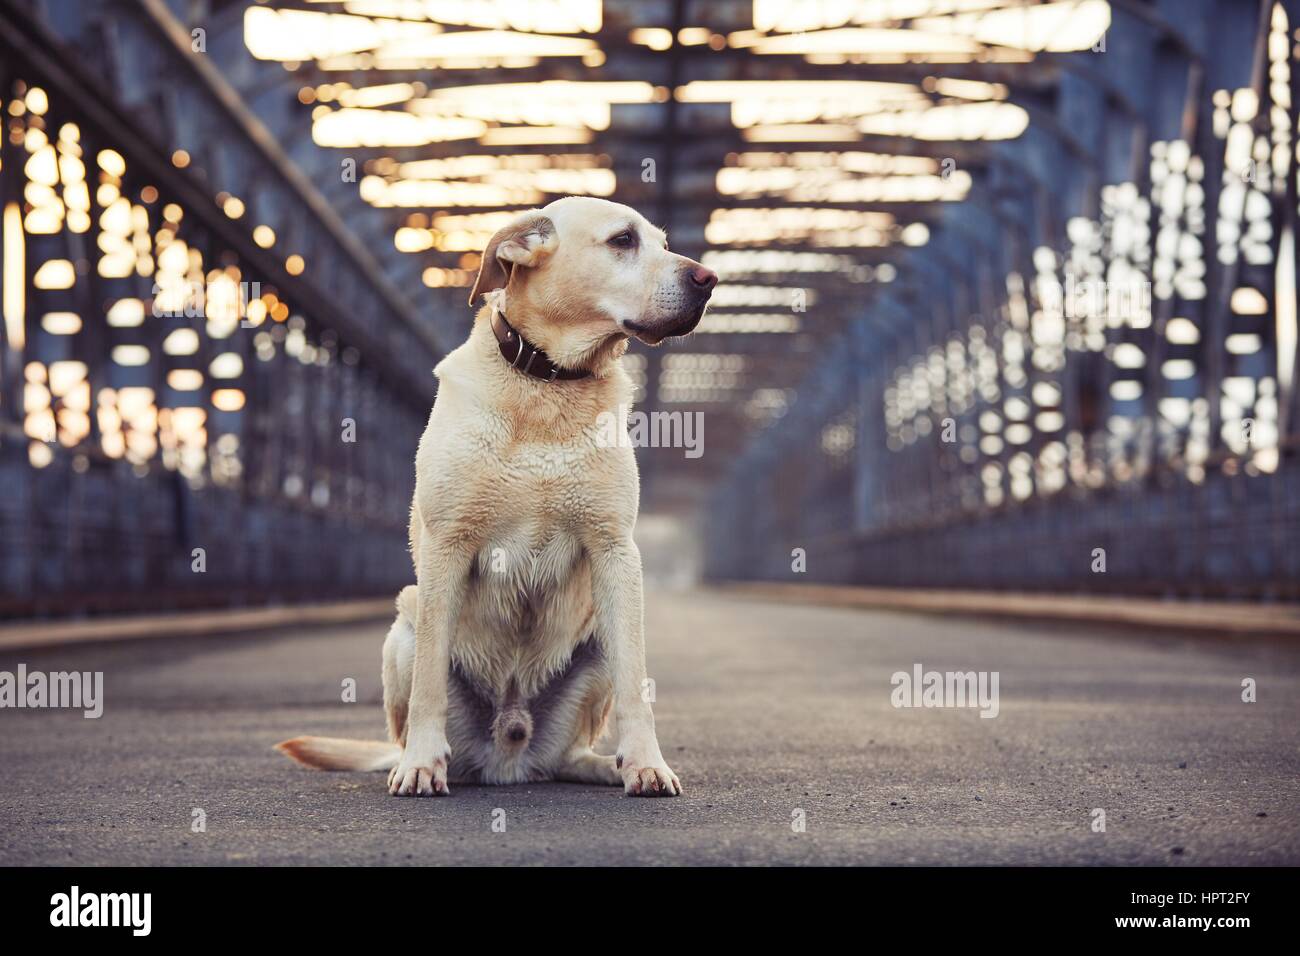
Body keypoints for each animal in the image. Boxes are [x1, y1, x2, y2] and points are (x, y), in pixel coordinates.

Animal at [276, 196, 722, 801]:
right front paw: (420, 764)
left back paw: (609, 765)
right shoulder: (447, 547)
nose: (709, 279)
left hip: (595, 644)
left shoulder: (616, 551)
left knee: (570, 753)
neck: (549, 383)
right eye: (623, 240)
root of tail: (508, 760)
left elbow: (637, 684)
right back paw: (421, 760)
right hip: (403, 626)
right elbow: (430, 684)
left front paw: (647, 763)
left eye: (662, 242)